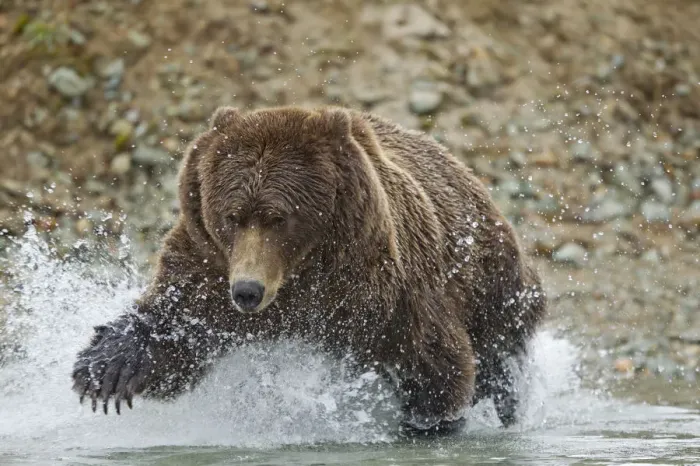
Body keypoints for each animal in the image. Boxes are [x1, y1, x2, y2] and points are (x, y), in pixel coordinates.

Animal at [72, 105, 546, 435]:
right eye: (231, 216)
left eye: (278, 217)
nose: (247, 291)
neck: (299, 277)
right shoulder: (207, 265)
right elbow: (175, 327)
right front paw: (104, 372)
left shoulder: (391, 289)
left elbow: (434, 367)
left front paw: (429, 423)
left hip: (493, 283)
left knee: (499, 360)